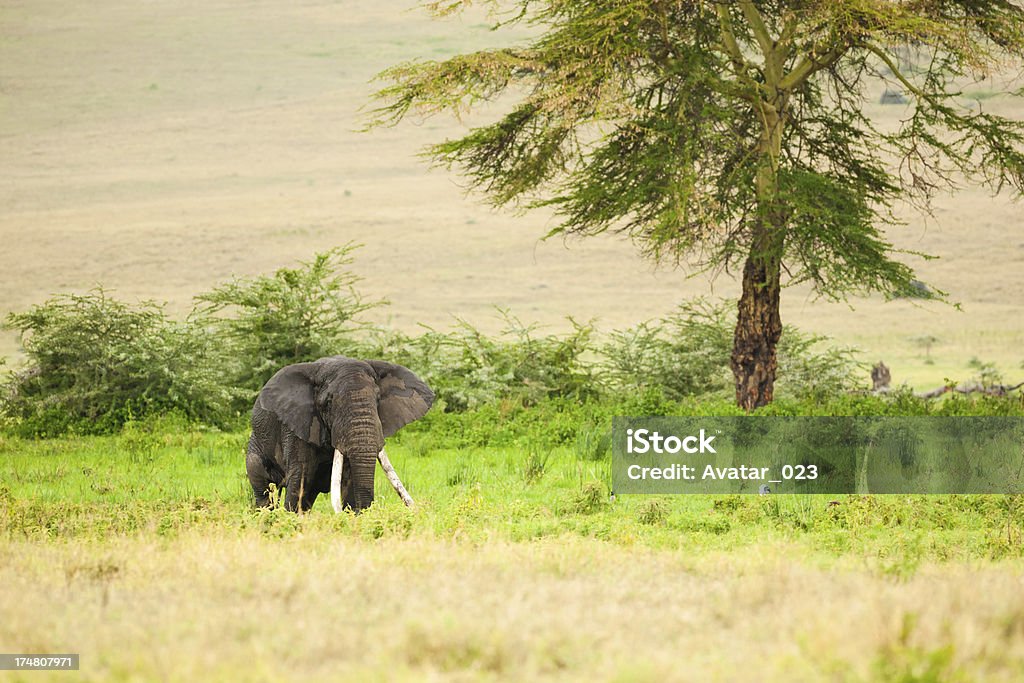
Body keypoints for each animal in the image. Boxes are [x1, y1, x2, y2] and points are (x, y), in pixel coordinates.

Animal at [245, 358, 434, 511]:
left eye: (378, 399)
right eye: (328, 402)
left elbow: (349, 480)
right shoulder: (297, 427)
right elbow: (300, 478)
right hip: (255, 447)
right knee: (264, 493)